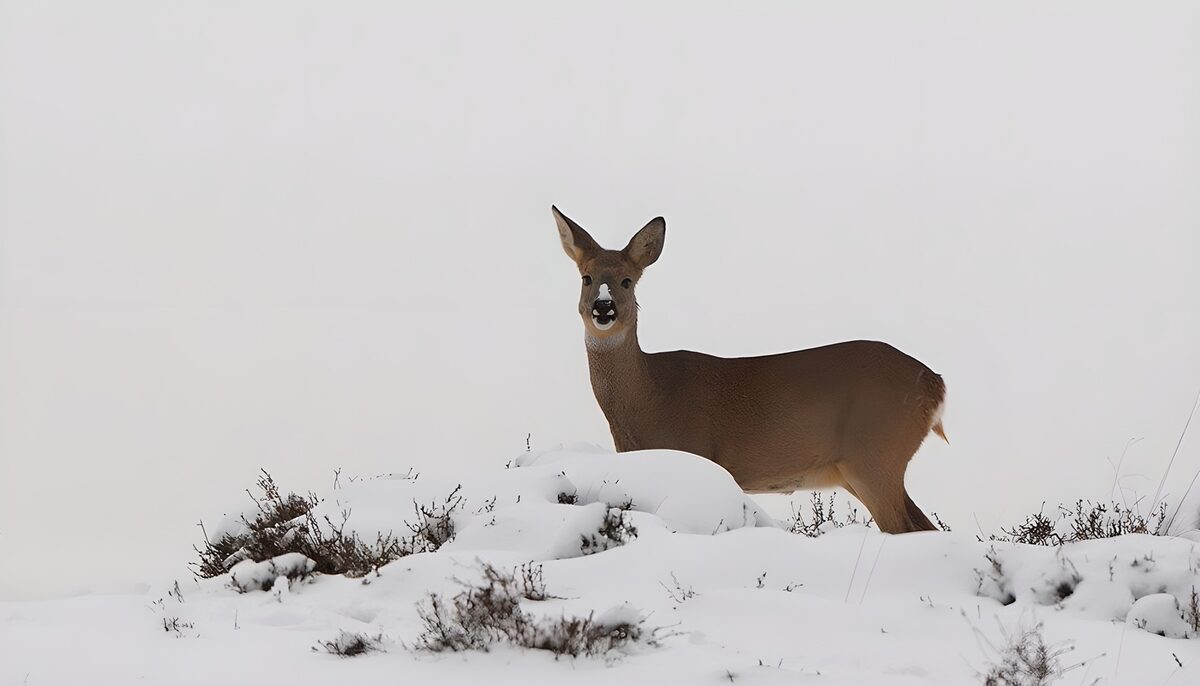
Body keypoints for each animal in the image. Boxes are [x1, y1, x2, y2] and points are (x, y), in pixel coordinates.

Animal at [552, 206, 948, 534]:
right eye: (586, 278)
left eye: (627, 281)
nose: (604, 308)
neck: (650, 396)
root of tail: (936, 384)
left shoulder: (695, 453)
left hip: (876, 454)